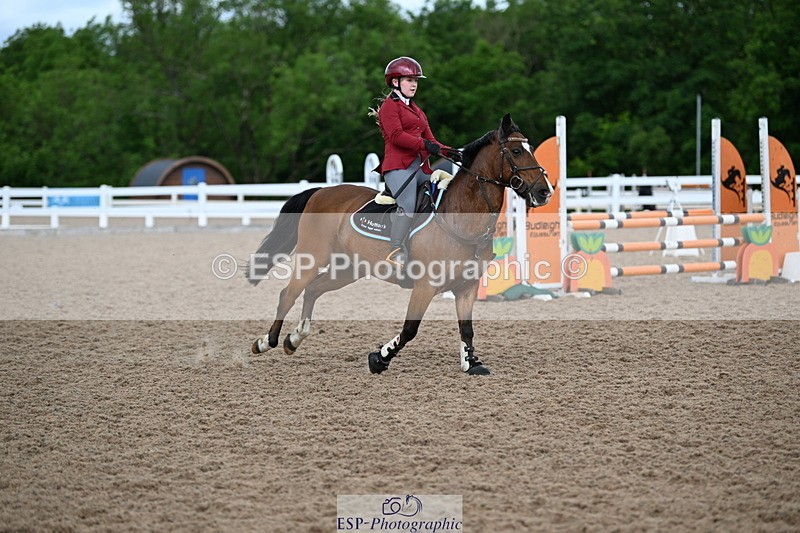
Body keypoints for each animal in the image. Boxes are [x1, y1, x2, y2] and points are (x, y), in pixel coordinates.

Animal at [245, 114, 554, 375]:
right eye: (516, 151)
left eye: (530, 148)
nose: (545, 191)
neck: (459, 218)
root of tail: (321, 191)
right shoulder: (425, 286)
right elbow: (409, 329)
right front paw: (379, 358)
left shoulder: (467, 287)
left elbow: (467, 329)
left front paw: (471, 363)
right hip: (314, 257)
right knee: (288, 293)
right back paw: (266, 341)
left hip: (348, 269)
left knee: (312, 290)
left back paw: (294, 339)